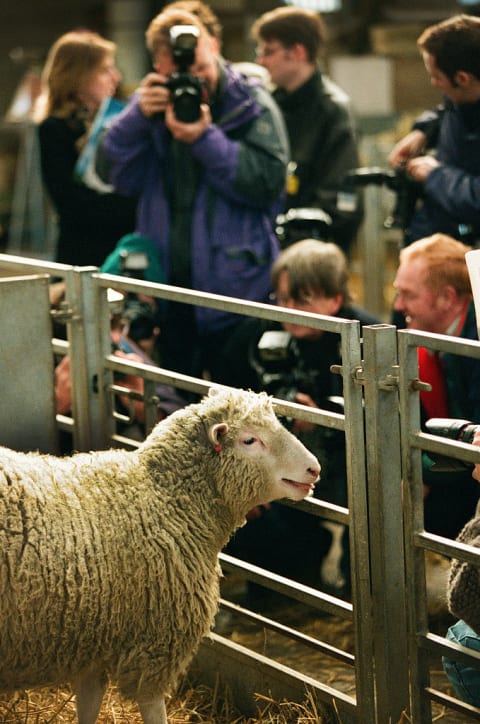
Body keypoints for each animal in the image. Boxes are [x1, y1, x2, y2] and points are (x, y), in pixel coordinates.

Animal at [0, 388, 322, 724]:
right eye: (249, 440)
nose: (314, 469)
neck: (164, 498)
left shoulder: (93, 639)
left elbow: (89, 703)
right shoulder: (156, 640)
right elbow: (153, 706)